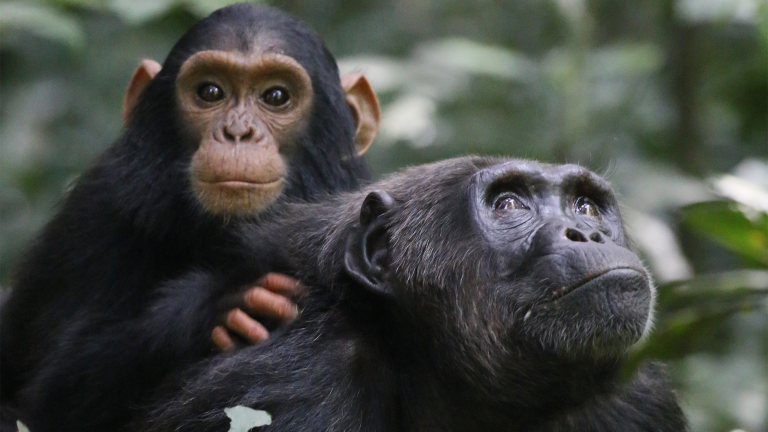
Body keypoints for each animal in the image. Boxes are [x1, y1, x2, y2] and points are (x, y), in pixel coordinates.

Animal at [0, 4, 380, 431]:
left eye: (276, 96)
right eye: (210, 92)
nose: (237, 132)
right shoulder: (96, 208)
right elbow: (54, 391)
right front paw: (224, 301)